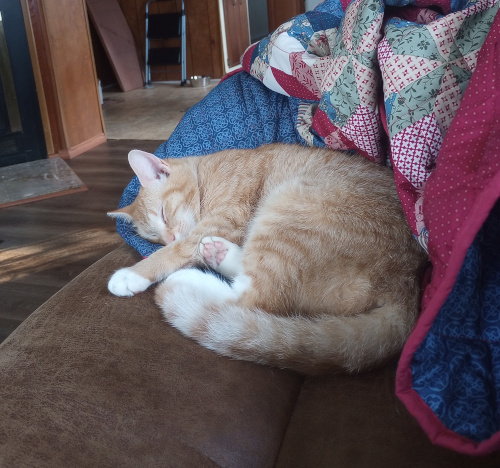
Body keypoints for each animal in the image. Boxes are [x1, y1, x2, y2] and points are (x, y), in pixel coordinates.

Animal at [107, 144, 428, 374]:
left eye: (163, 214)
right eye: (153, 238)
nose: (170, 237)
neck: (207, 174)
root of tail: (406, 283)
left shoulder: (225, 219)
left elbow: (179, 251)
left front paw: (134, 273)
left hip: (290, 210)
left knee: (253, 298)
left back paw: (191, 277)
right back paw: (218, 253)